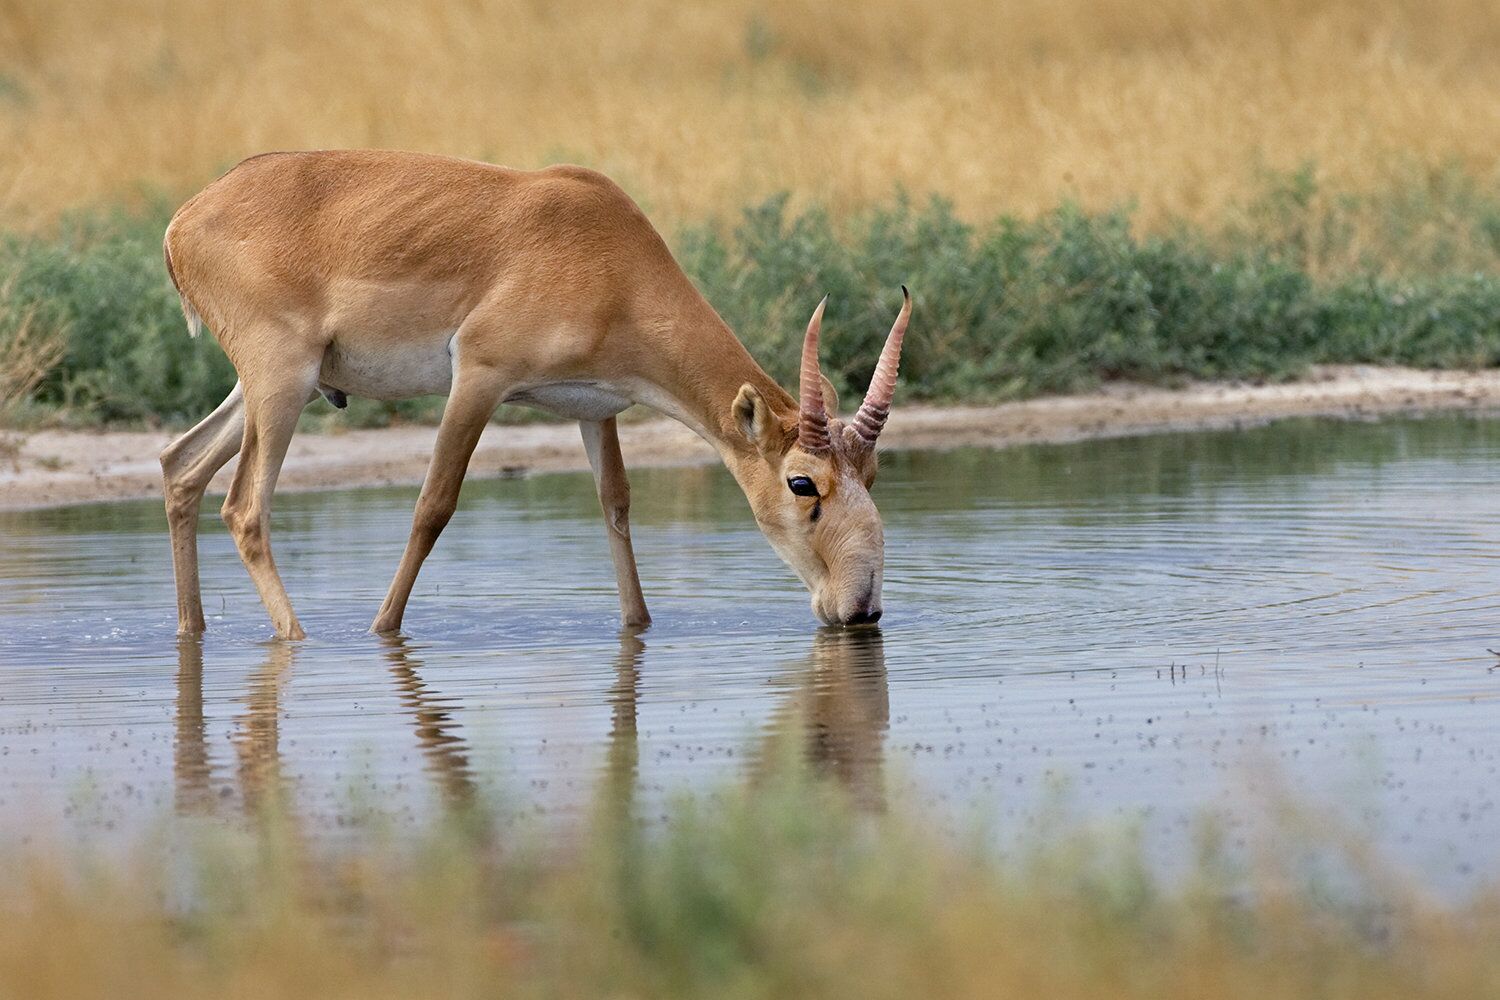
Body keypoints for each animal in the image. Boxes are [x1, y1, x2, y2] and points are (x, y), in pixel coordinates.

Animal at [164, 151, 912, 638]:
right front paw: (383, 629)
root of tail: (182, 221)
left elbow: (616, 506)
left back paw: (191, 629)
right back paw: (296, 637)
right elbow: (433, 506)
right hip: (281, 383)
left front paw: (638, 624)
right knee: (243, 507)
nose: (862, 608)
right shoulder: (479, 378)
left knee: (180, 465)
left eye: (874, 472)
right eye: (802, 482)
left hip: (276, 389)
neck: (612, 258)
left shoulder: (596, 409)